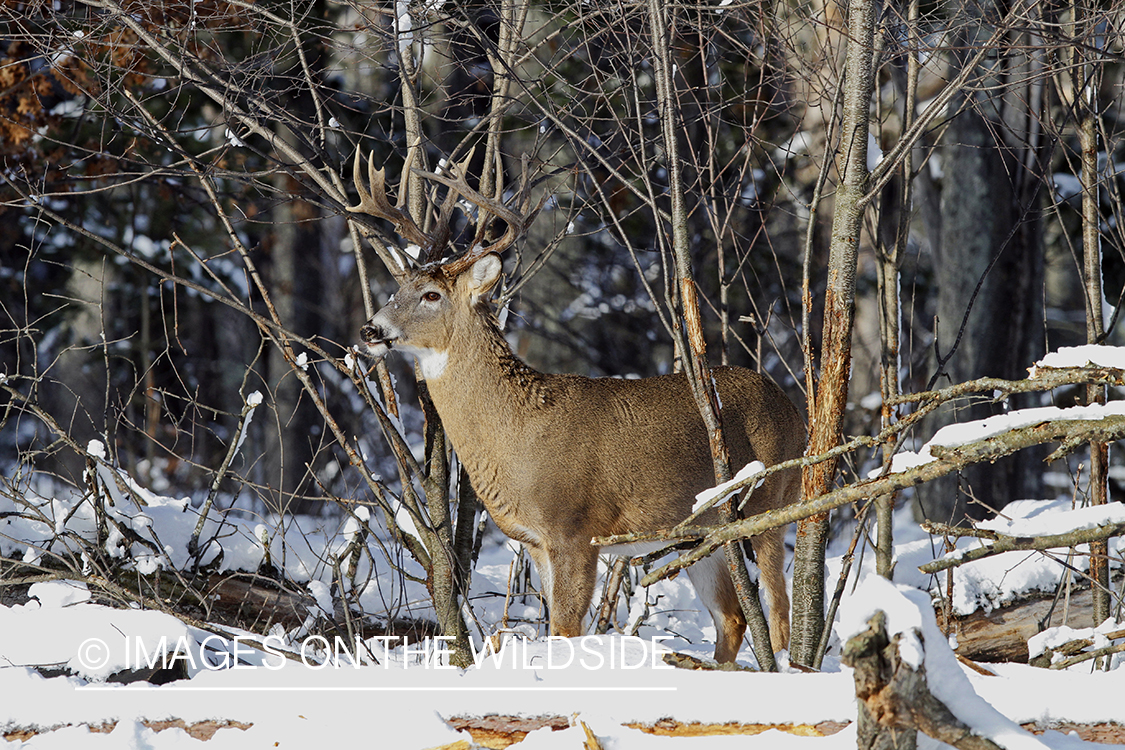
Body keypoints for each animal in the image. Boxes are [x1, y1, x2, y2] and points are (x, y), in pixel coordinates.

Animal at [346, 152, 805, 661]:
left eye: (431, 295)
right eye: (397, 288)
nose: (370, 330)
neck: (517, 432)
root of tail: (793, 406)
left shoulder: (574, 528)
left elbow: (566, 630)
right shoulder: (534, 541)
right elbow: (553, 626)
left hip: (771, 501)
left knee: (779, 609)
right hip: (698, 528)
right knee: (732, 616)